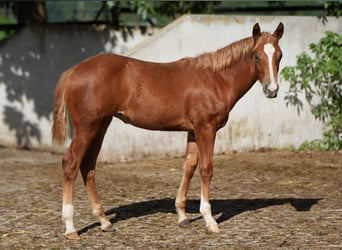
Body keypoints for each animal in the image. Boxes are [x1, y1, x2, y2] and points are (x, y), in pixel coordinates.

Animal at [52, 22, 284, 239]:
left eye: (279, 56)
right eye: (256, 56)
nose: (271, 90)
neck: (215, 79)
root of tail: (73, 70)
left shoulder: (193, 131)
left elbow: (189, 166)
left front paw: (182, 216)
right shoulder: (206, 128)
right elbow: (206, 169)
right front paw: (209, 220)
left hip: (100, 126)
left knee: (88, 166)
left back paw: (104, 221)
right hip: (87, 127)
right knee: (71, 164)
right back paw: (70, 227)